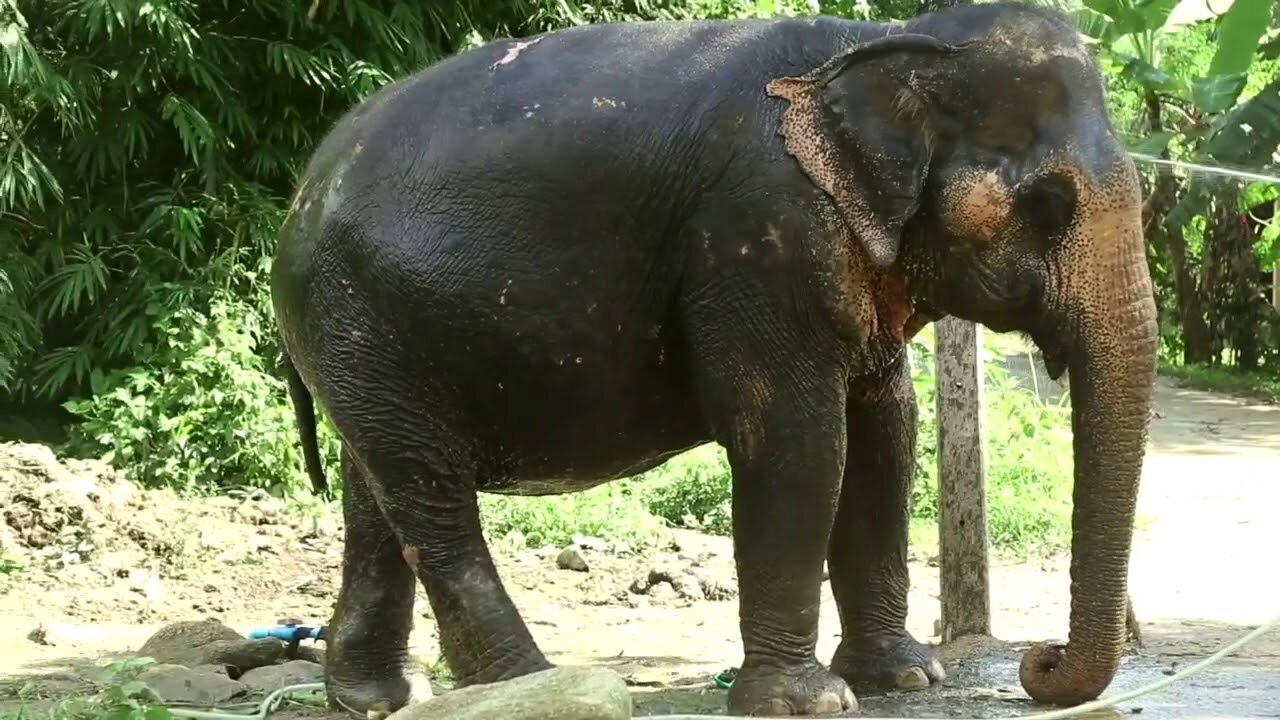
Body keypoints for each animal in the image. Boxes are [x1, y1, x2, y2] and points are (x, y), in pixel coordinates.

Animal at [272, 2, 1162, 712]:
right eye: (1049, 204)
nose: (1040, 660)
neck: (881, 40)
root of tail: (301, 193)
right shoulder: (756, 233)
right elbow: (797, 439)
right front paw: (809, 703)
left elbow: (887, 431)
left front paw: (906, 680)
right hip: (354, 313)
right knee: (430, 495)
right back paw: (531, 687)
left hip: (362, 337)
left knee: (376, 489)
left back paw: (377, 698)